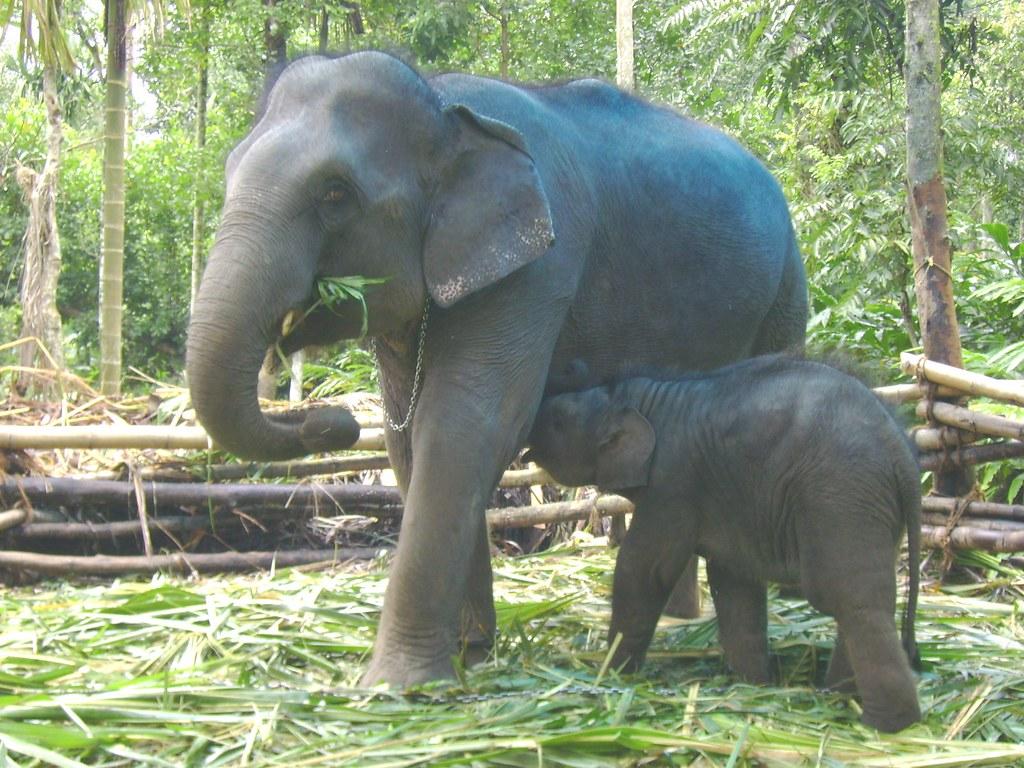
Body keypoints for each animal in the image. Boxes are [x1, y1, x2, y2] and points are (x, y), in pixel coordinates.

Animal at [184, 51, 806, 688]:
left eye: (335, 193)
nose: (336, 420)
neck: (444, 108)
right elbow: (408, 438)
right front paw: (471, 655)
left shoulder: (541, 266)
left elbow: (469, 423)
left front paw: (397, 686)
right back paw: (683, 621)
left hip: (785, 289)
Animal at [528, 354, 921, 733]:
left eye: (558, 421)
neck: (644, 397)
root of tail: (902, 450)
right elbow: (734, 582)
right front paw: (753, 685)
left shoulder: (672, 482)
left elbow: (645, 569)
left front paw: (611, 673)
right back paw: (837, 696)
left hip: (840, 496)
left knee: (850, 600)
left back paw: (886, 725)